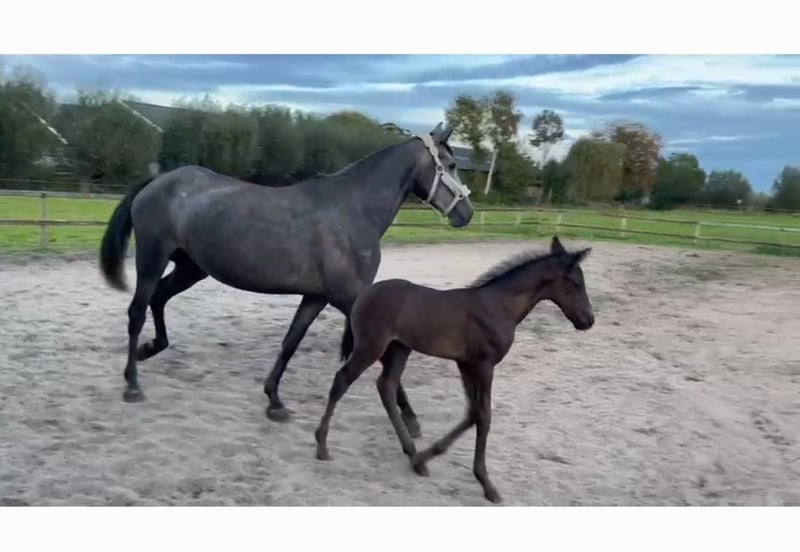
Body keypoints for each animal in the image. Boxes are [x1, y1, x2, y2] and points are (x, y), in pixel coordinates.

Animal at [98, 122, 474, 435]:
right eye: (450, 164)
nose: (466, 214)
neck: (353, 211)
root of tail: (158, 182)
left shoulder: (317, 297)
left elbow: (290, 343)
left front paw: (274, 401)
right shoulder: (350, 298)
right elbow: (384, 358)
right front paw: (411, 420)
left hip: (191, 268)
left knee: (158, 299)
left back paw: (149, 350)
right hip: (152, 259)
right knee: (137, 311)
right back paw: (132, 384)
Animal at [313, 235, 595, 503]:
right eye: (576, 283)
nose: (589, 320)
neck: (498, 305)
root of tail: (364, 294)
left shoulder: (466, 364)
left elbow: (472, 414)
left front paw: (426, 457)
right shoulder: (485, 365)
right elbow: (484, 416)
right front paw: (487, 485)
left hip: (399, 349)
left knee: (387, 386)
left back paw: (412, 453)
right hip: (371, 346)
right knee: (342, 380)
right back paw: (322, 446)